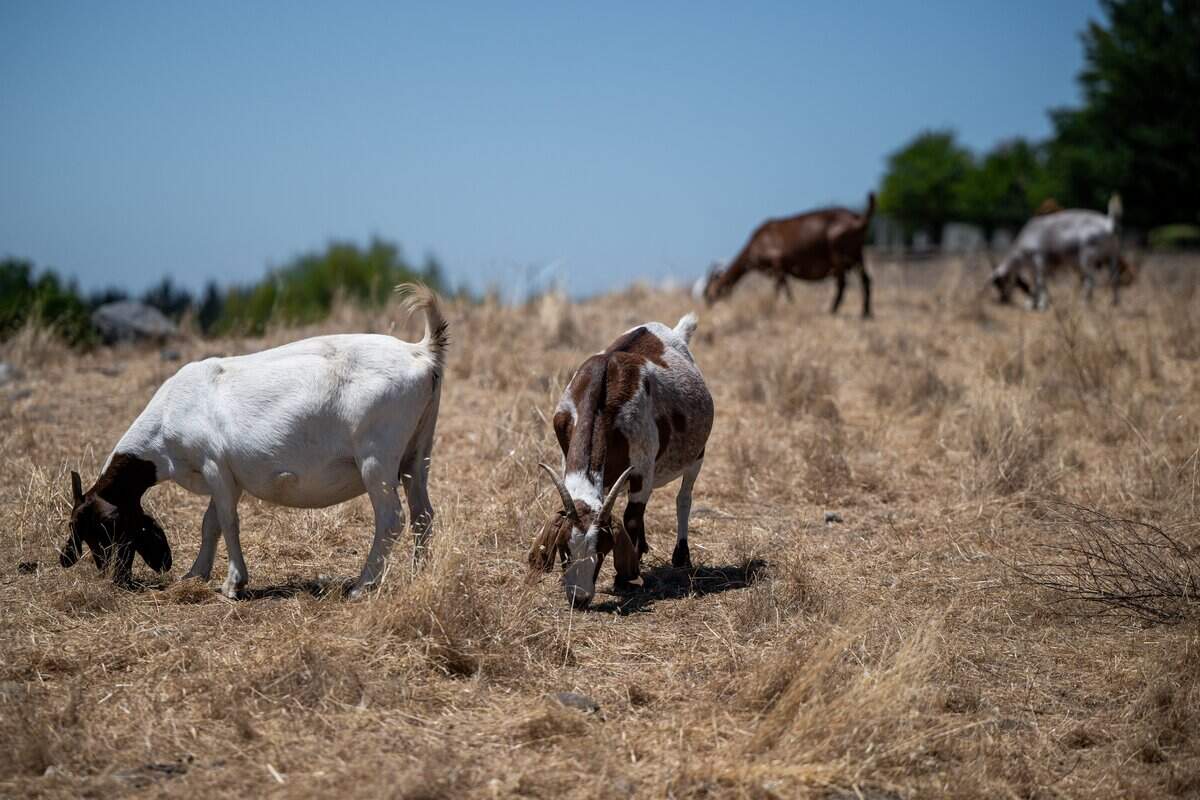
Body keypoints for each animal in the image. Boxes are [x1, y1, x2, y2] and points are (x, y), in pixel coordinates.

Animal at [60, 284, 448, 599]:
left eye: (101, 530)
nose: (112, 577)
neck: (170, 414)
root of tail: (422, 351)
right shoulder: (227, 475)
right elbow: (210, 523)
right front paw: (195, 574)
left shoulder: (214, 464)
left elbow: (228, 521)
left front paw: (233, 584)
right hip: (417, 453)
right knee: (422, 514)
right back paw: (419, 577)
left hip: (376, 457)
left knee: (391, 518)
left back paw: (362, 585)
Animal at [529, 314, 713, 608]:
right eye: (564, 549)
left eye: (603, 551)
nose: (579, 597)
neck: (603, 387)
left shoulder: (642, 471)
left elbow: (632, 518)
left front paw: (625, 578)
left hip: (698, 454)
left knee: (683, 498)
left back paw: (681, 556)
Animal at [701, 192, 875, 317]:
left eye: (710, 295)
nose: (708, 308)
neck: (755, 243)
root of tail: (859, 219)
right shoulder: (782, 269)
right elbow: (786, 288)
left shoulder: (777, 263)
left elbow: (779, 288)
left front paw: (778, 307)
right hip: (857, 254)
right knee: (866, 279)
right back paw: (866, 313)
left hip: (837, 253)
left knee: (842, 283)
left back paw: (832, 310)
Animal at [992, 195, 1125, 309]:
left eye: (1000, 282)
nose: (1003, 300)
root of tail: (1109, 225)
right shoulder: (1040, 267)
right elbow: (1038, 283)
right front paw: (1034, 303)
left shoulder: (1040, 259)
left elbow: (1040, 282)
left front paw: (1040, 305)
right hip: (1112, 256)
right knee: (1115, 277)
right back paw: (1115, 302)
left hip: (1087, 257)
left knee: (1091, 279)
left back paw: (1085, 302)